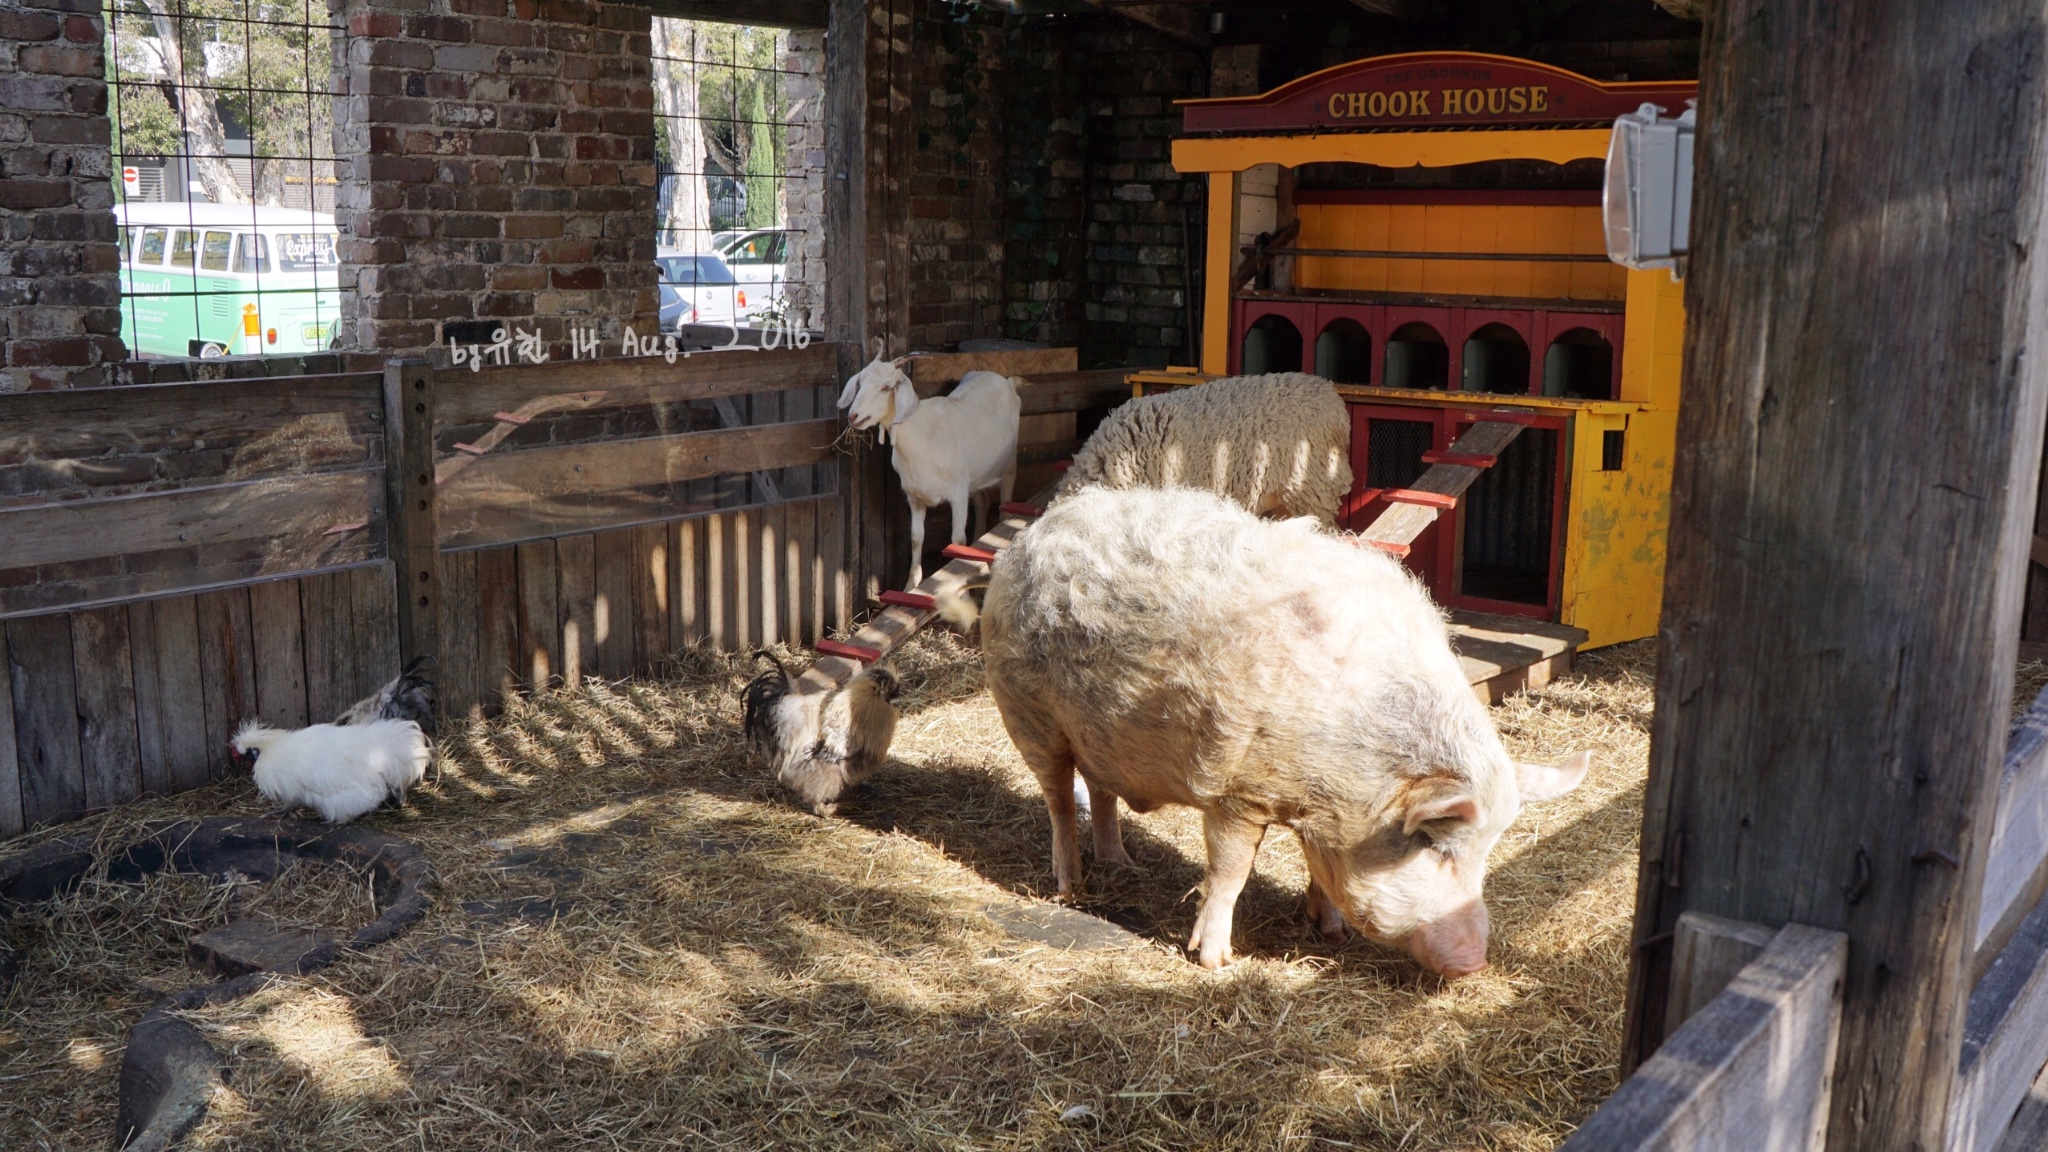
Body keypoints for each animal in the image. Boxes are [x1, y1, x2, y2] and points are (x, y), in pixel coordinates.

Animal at [835, 342, 1019, 586]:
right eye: (860, 382)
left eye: (886, 387)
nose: (853, 416)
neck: (922, 438)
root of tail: (1005, 380)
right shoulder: (915, 497)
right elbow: (916, 538)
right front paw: (911, 584)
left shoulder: (958, 493)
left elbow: (957, 541)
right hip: (977, 476)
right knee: (982, 502)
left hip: (1009, 466)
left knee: (1005, 508)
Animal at [950, 483, 1589, 975]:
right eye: (1433, 845)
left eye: (1487, 853)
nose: (1474, 963)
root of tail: (1034, 533)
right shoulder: (1236, 791)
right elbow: (1230, 871)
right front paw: (1214, 961)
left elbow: (1318, 871)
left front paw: (1331, 933)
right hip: (1029, 715)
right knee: (1060, 798)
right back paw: (1071, 887)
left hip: (1099, 734)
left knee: (1101, 792)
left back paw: (1123, 865)